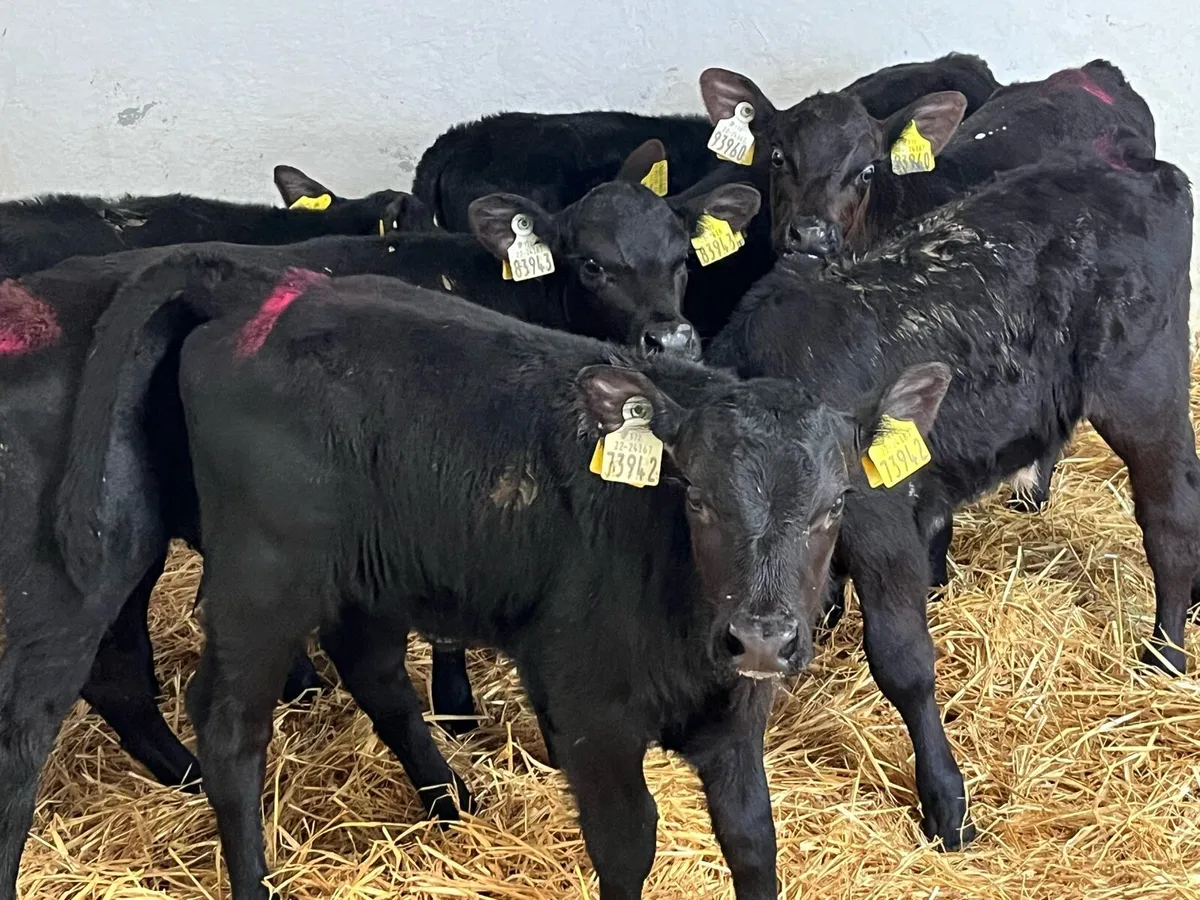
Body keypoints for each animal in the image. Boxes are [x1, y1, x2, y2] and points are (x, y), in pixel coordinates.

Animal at [47, 251, 952, 898]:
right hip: (263, 577)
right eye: (694, 494)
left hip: (371, 572)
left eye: (838, 503)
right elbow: (629, 844)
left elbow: (753, 841)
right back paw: (255, 879)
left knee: (374, 673)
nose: (762, 636)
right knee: (229, 725)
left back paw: (450, 797)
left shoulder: (735, 715)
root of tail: (261, 289)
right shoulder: (592, 711)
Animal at [703, 144, 1195, 855]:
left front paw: (945, 803)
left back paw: (1165, 655)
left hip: (1143, 390)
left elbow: (903, 659)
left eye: (826, 502)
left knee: (1171, 517)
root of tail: (1145, 171)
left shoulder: (881, 523)